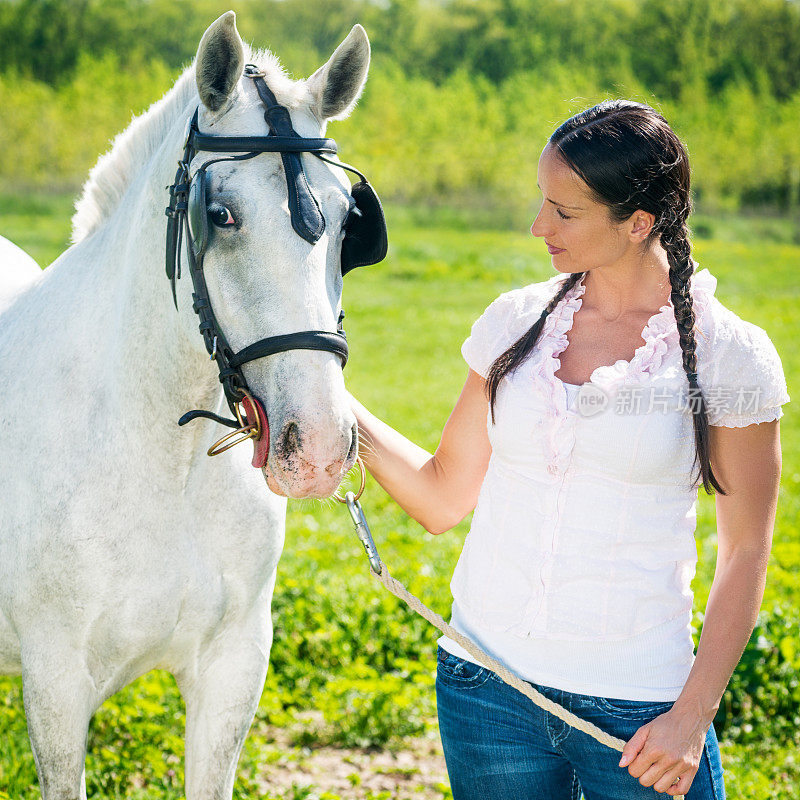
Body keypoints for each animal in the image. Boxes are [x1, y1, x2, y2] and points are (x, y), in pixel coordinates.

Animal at [0, 14, 368, 800]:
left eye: (348, 219)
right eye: (220, 215)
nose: (320, 447)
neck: (159, 458)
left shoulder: (232, 668)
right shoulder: (55, 685)